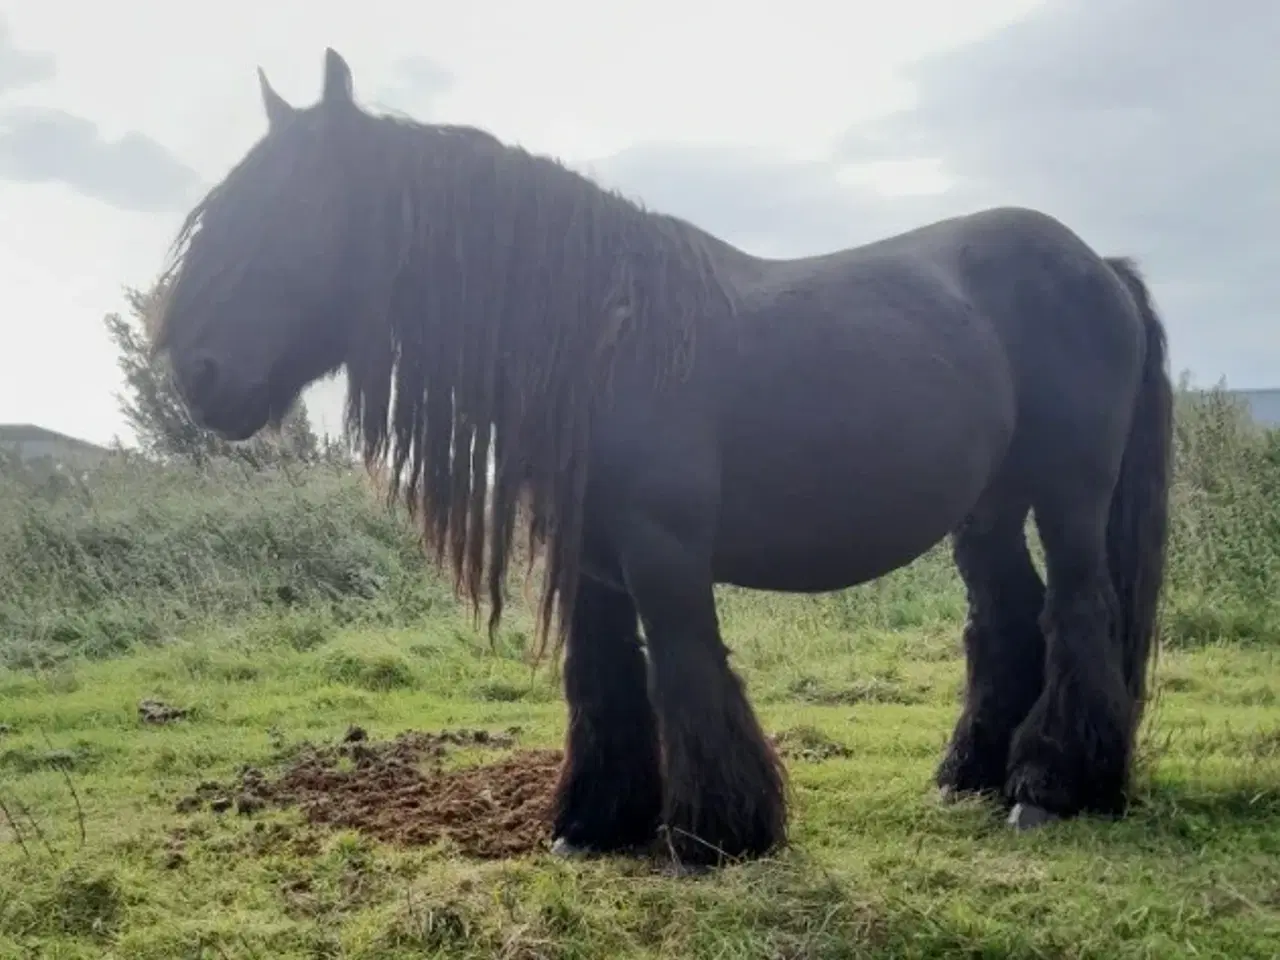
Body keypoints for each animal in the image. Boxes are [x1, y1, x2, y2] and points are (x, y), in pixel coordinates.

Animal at [149, 50, 1172, 870]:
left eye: (289, 212)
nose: (196, 373)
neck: (604, 340)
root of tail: (1101, 266)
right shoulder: (592, 557)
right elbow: (603, 680)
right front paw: (593, 824)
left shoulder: (665, 550)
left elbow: (684, 669)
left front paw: (716, 834)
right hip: (986, 509)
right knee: (1005, 617)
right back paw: (972, 775)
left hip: (1069, 498)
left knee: (1076, 611)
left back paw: (1050, 788)